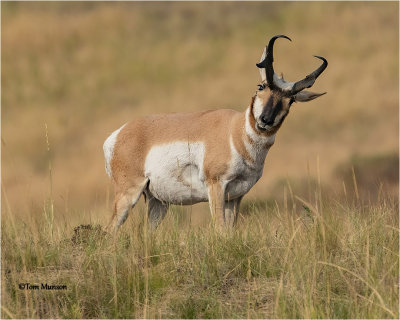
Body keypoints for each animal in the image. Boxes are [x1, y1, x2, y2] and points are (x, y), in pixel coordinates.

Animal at [104, 35, 328, 230]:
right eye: (261, 86)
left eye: (291, 100)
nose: (265, 120)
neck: (235, 133)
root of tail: (119, 133)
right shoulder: (217, 187)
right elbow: (220, 229)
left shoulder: (235, 197)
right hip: (129, 194)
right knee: (109, 231)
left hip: (158, 202)